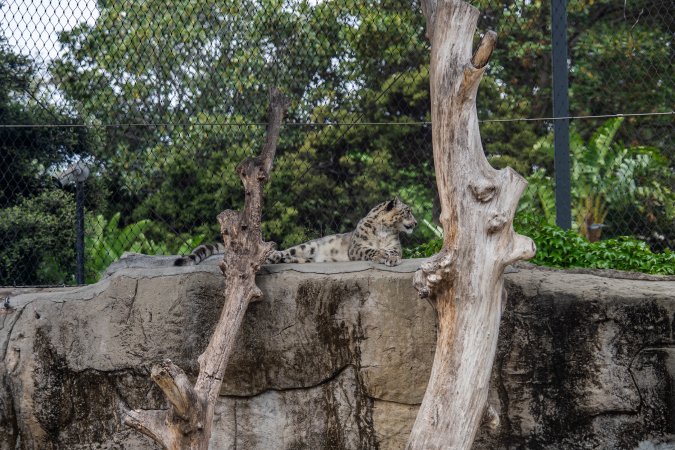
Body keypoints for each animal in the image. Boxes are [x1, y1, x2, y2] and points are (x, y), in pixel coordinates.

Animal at [174, 198, 416, 267]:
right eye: (408, 211)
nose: (415, 223)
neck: (384, 231)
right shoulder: (357, 248)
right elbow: (370, 250)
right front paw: (382, 256)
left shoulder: (395, 246)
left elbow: (393, 252)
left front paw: (391, 258)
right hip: (305, 246)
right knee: (282, 253)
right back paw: (270, 257)